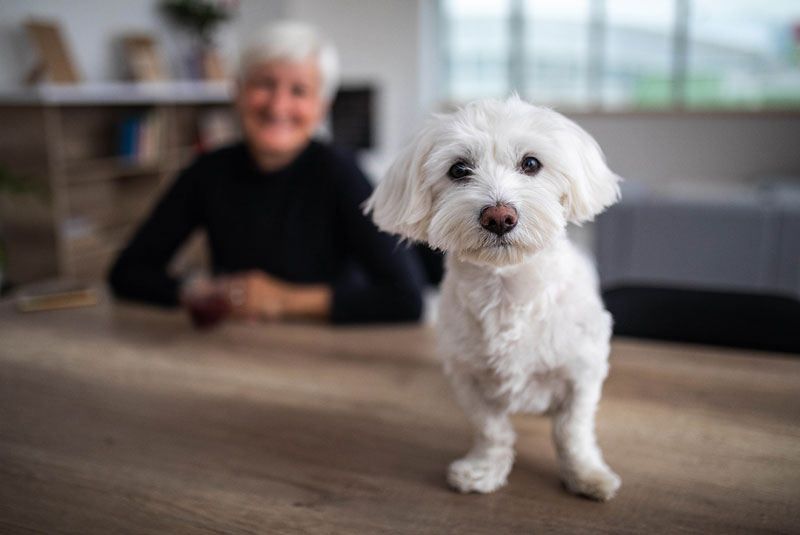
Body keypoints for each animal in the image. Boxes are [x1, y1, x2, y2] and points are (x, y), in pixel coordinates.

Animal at [366, 96, 620, 502]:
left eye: (531, 163)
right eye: (459, 169)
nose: (499, 216)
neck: (507, 289)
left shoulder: (581, 373)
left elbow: (572, 430)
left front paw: (586, 474)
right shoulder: (469, 378)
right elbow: (492, 430)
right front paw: (484, 469)